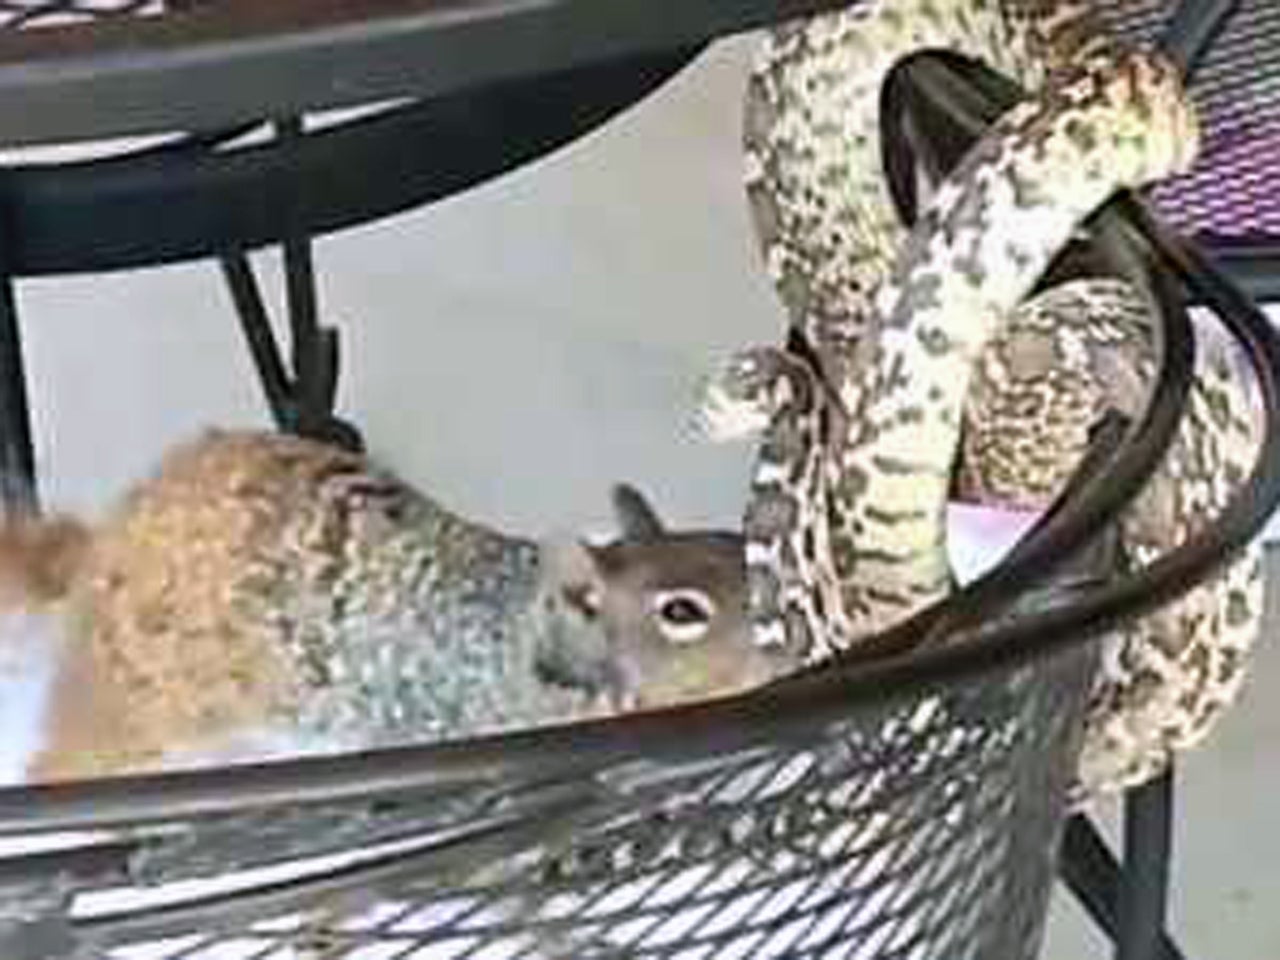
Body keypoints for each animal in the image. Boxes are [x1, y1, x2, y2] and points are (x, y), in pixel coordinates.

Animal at [1, 429, 791, 783]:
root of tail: (109, 541)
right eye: (681, 612)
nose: (787, 630)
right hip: (146, 700)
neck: (519, 646)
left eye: (733, 542)